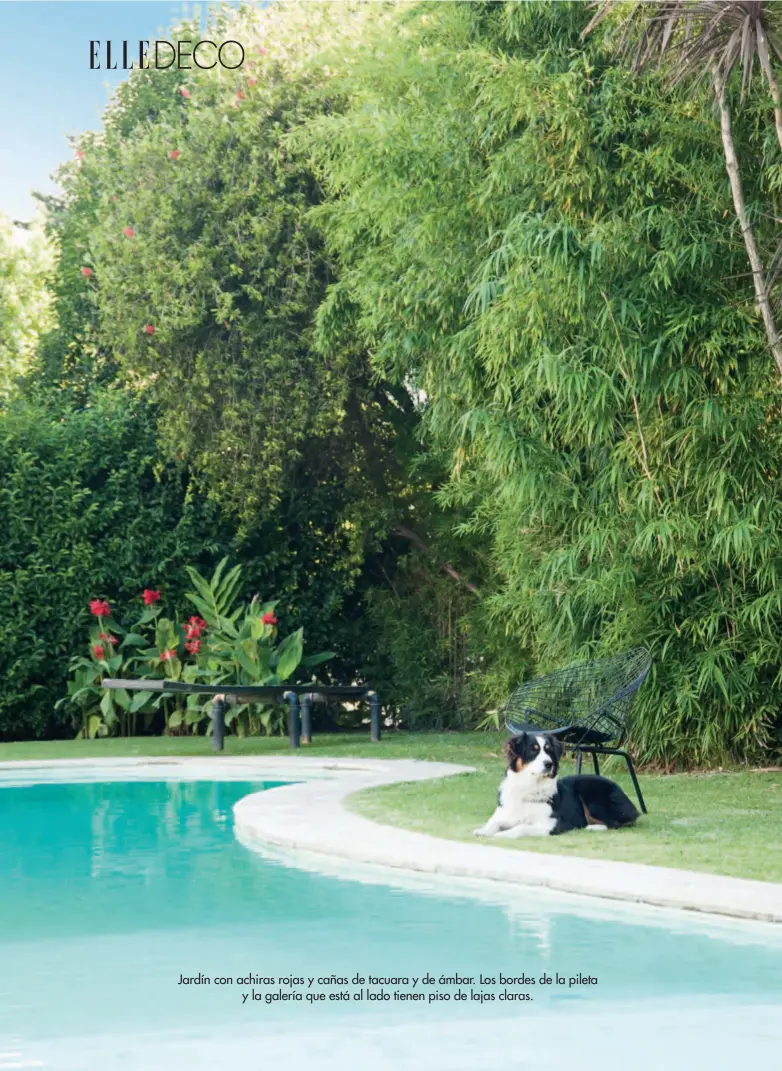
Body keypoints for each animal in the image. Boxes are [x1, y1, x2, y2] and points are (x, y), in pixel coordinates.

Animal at [471, 732, 638, 839]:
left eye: (549, 751)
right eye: (533, 750)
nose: (548, 764)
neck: (529, 787)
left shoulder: (550, 824)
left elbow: (521, 826)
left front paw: (504, 834)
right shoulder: (504, 814)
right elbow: (493, 822)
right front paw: (483, 830)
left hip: (592, 796)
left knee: (616, 823)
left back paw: (592, 827)